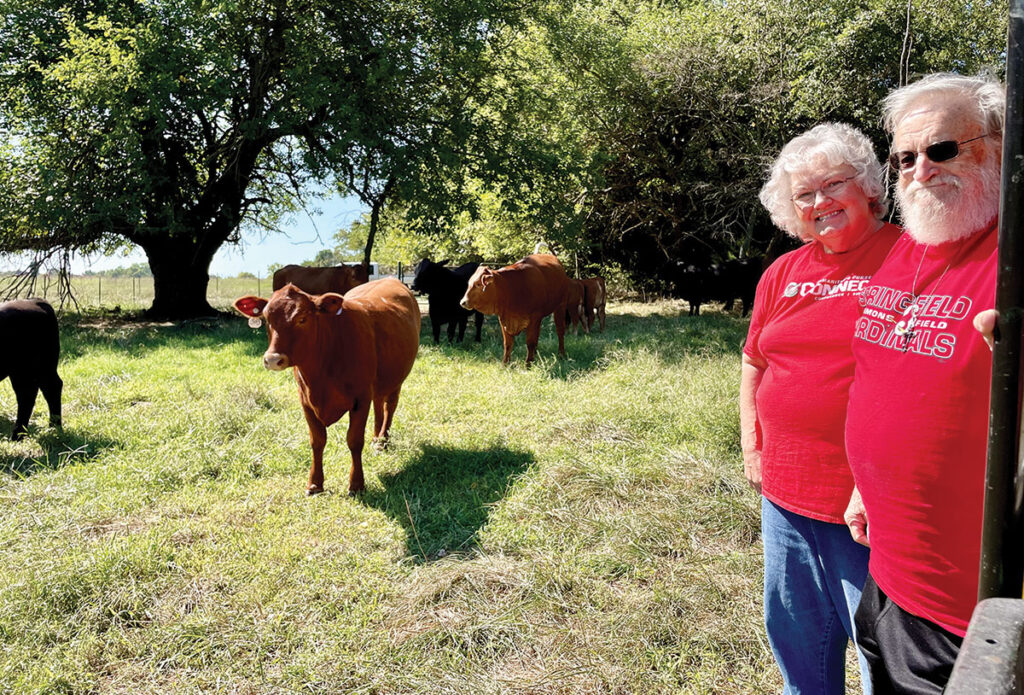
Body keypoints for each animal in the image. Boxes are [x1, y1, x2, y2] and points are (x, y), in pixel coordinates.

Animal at [234, 276, 417, 495]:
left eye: (302, 318)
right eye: (267, 319)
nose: (272, 359)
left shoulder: (361, 398)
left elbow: (354, 440)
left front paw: (356, 484)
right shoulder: (305, 400)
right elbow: (317, 441)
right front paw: (315, 483)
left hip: (396, 379)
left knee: (390, 407)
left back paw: (383, 441)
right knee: (379, 405)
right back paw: (376, 440)